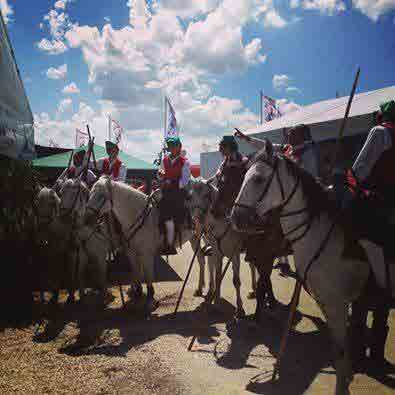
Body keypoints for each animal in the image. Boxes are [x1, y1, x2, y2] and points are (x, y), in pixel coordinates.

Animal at [189, 180, 260, 318]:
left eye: (206, 195)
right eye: (190, 196)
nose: (198, 218)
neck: (221, 222)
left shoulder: (234, 254)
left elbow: (236, 281)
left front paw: (239, 309)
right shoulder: (217, 253)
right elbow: (217, 276)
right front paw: (216, 303)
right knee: (251, 265)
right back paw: (253, 290)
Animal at [230, 140, 394, 395]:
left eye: (258, 179)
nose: (235, 218)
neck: (322, 234)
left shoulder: (336, 303)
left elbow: (340, 352)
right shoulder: (328, 303)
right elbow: (338, 350)